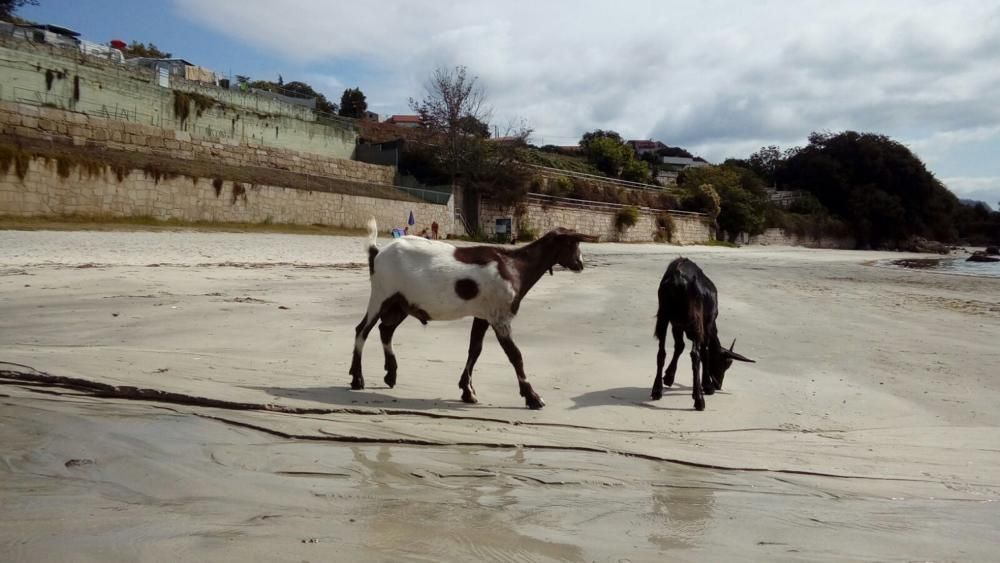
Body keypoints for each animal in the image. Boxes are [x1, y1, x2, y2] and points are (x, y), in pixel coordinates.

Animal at [652, 256, 752, 410]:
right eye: (725, 363)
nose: (719, 385)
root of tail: (677, 277)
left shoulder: (677, 325)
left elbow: (679, 346)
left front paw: (668, 377)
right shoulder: (708, 323)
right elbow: (705, 351)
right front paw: (707, 385)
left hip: (663, 314)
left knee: (661, 352)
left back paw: (657, 390)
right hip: (696, 320)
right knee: (695, 354)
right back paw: (699, 400)